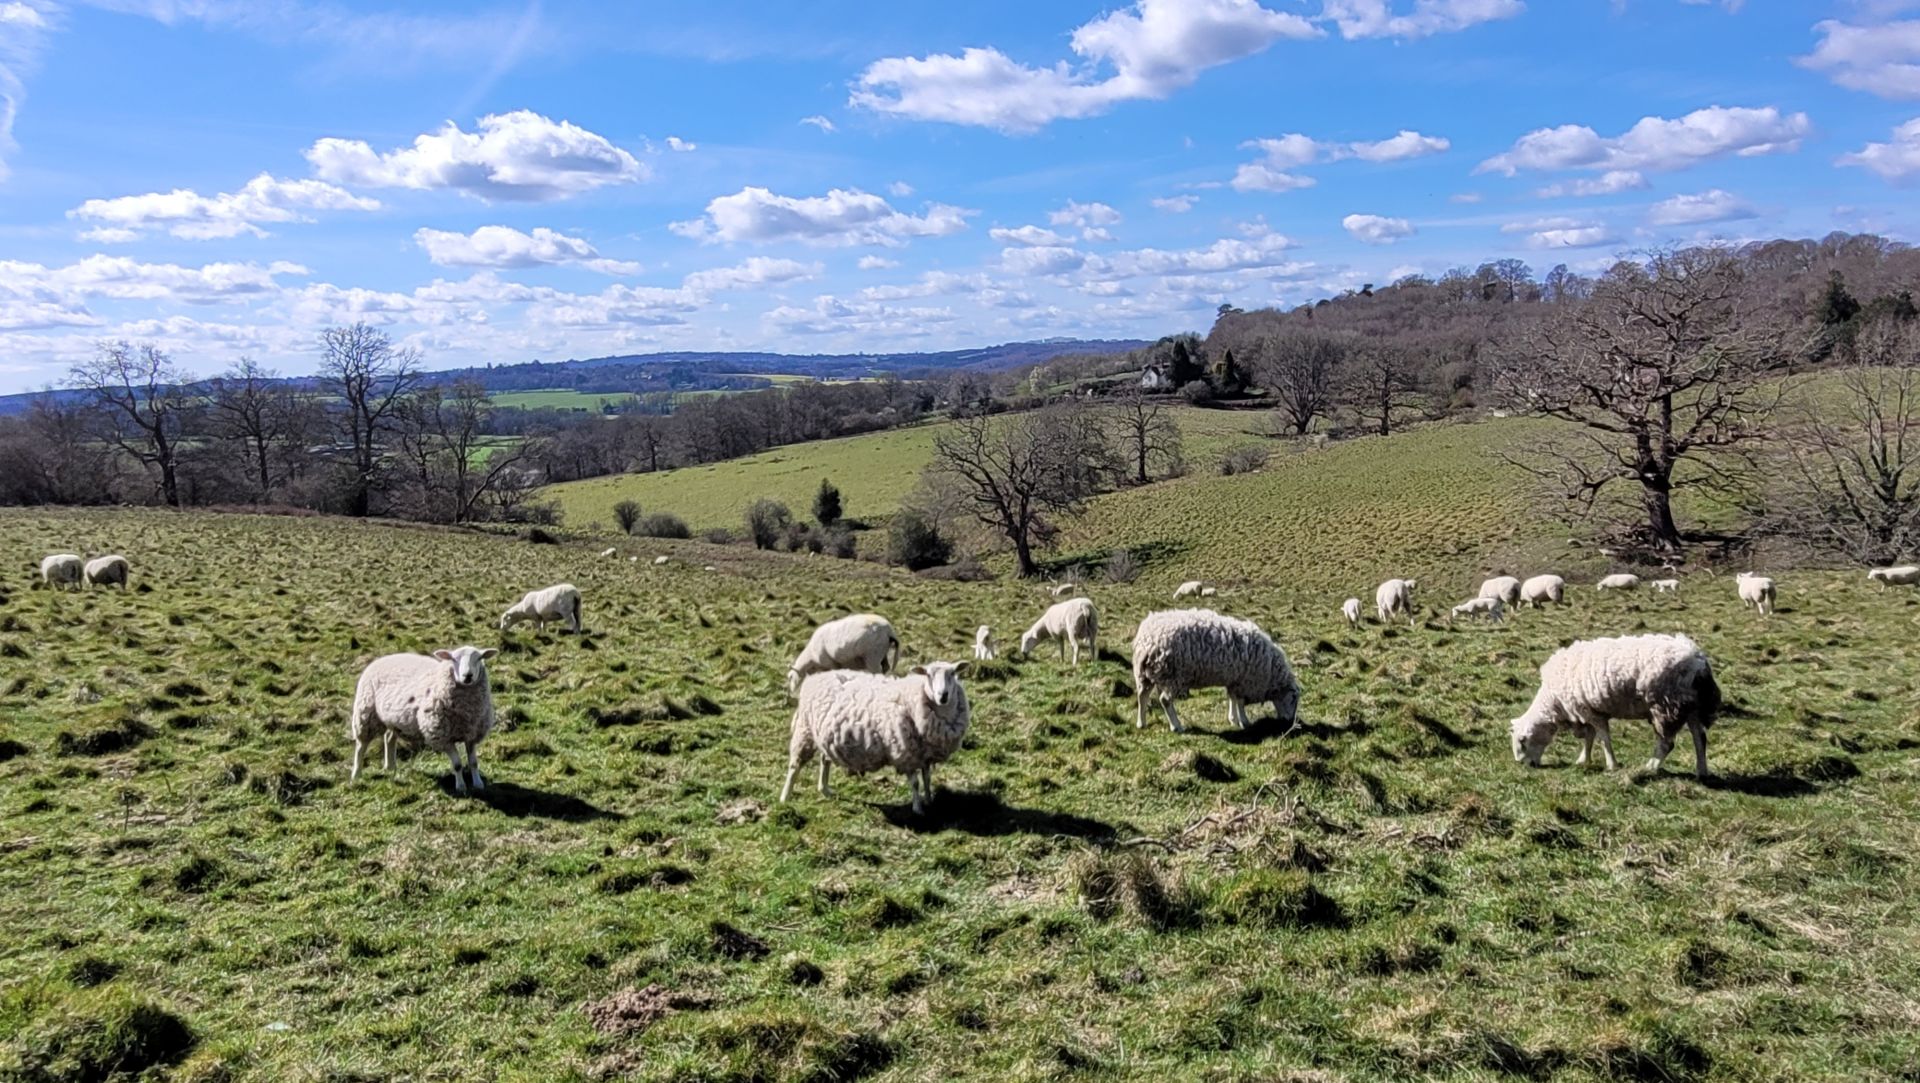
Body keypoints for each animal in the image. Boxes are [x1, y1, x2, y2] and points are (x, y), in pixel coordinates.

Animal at [348, 646, 498, 794]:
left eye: (479, 658)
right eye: (453, 659)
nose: (468, 676)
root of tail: (382, 658)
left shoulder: (472, 734)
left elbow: (473, 763)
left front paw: (478, 784)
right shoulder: (442, 737)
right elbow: (457, 765)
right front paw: (461, 787)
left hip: (394, 720)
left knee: (389, 738)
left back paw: (390, 768)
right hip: (366, 714)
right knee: (361, 746)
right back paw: (356, 775)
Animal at [780, 662, 972, 815]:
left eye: (953, 673)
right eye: (928, 675)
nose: (943, 695)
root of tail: (815, 677)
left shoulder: (925, 754)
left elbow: (927, 778)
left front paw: (929, 800)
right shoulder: (905, 754)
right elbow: (915, 783)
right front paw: (918, 809)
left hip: (826, 736)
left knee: (824, 760)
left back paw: (824, 789)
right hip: (805, 730)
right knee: (795, 766)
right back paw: (785, 797)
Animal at [1131, 608, 1300, 733]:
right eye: (1293, 698)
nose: (1290, 722)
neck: (1271, 670)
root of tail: (1145, 640)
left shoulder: (1234, 680)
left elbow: (1232, 698)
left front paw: (1233, 719)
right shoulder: (1245, 681)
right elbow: (1240, 702)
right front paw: (1244, 721)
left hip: (1146, 674)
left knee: (1142, 695)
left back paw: (1141, 722)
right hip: (1171, 676)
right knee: (1165, 700)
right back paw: (1176, 726)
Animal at [1509, 634, 1720, 778]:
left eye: (1522, 741)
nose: (1524, 764)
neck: (1554, 702)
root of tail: (1698, 659)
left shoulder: (1590, 711)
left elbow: (1603, 738)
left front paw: (1611, 765)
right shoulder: (1588, 711)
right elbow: (1590, 738)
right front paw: (1583, 760)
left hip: (1665, 706)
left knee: (1666, 743)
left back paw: (1649, 767)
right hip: (1691, 706)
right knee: (1700, 738)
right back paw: (1702, 771)